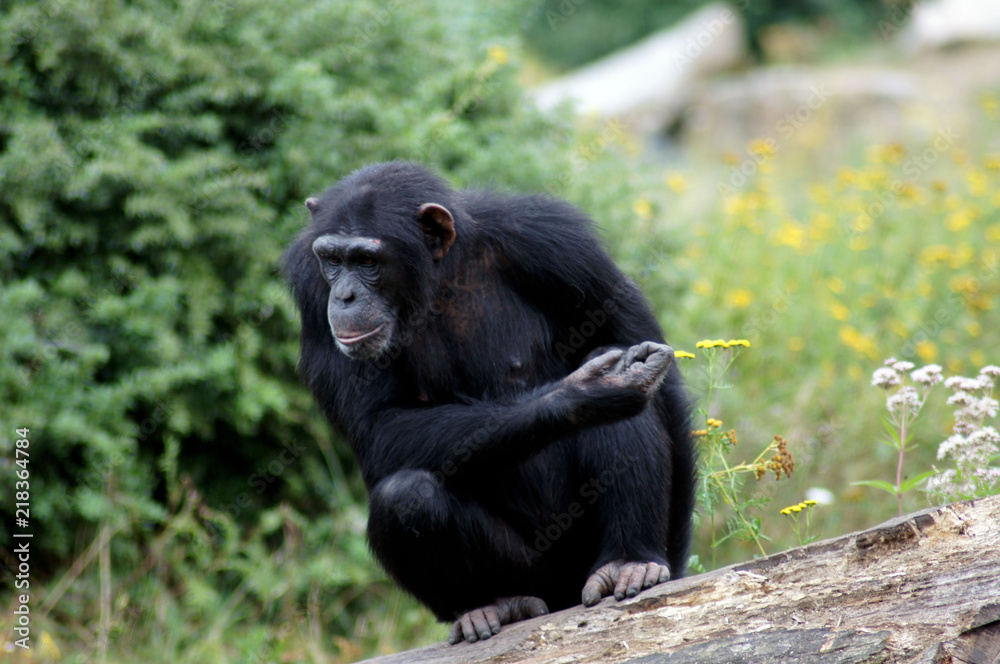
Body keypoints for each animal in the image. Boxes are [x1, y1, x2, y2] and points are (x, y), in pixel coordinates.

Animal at [284, 161, 696, 644]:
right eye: (332, 260)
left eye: (367, 261)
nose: (345, 295)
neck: (439, 276)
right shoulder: (311, 289)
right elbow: (378, 425)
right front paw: (585, 394)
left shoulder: (559, 244)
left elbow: (646, 358)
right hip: (539, 578)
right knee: (406, 497)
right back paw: (493, 604)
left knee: (620, 365)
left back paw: (627, 561)